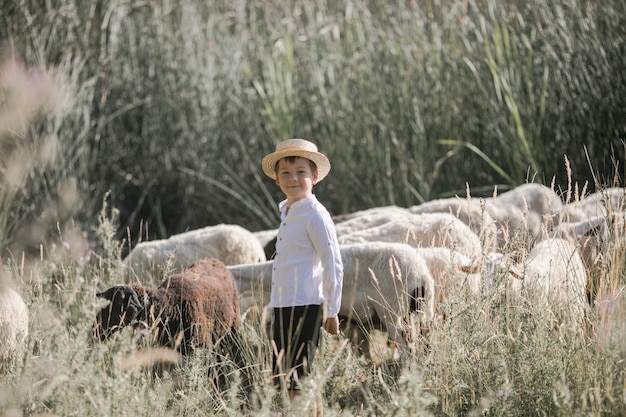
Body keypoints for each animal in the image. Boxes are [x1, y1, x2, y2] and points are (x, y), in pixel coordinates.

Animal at [94, 256, 240, 354]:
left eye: (117, 303)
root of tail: (214, 260)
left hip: (234, 325)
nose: (96, 329)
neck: (170, 304)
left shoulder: (201, 345)